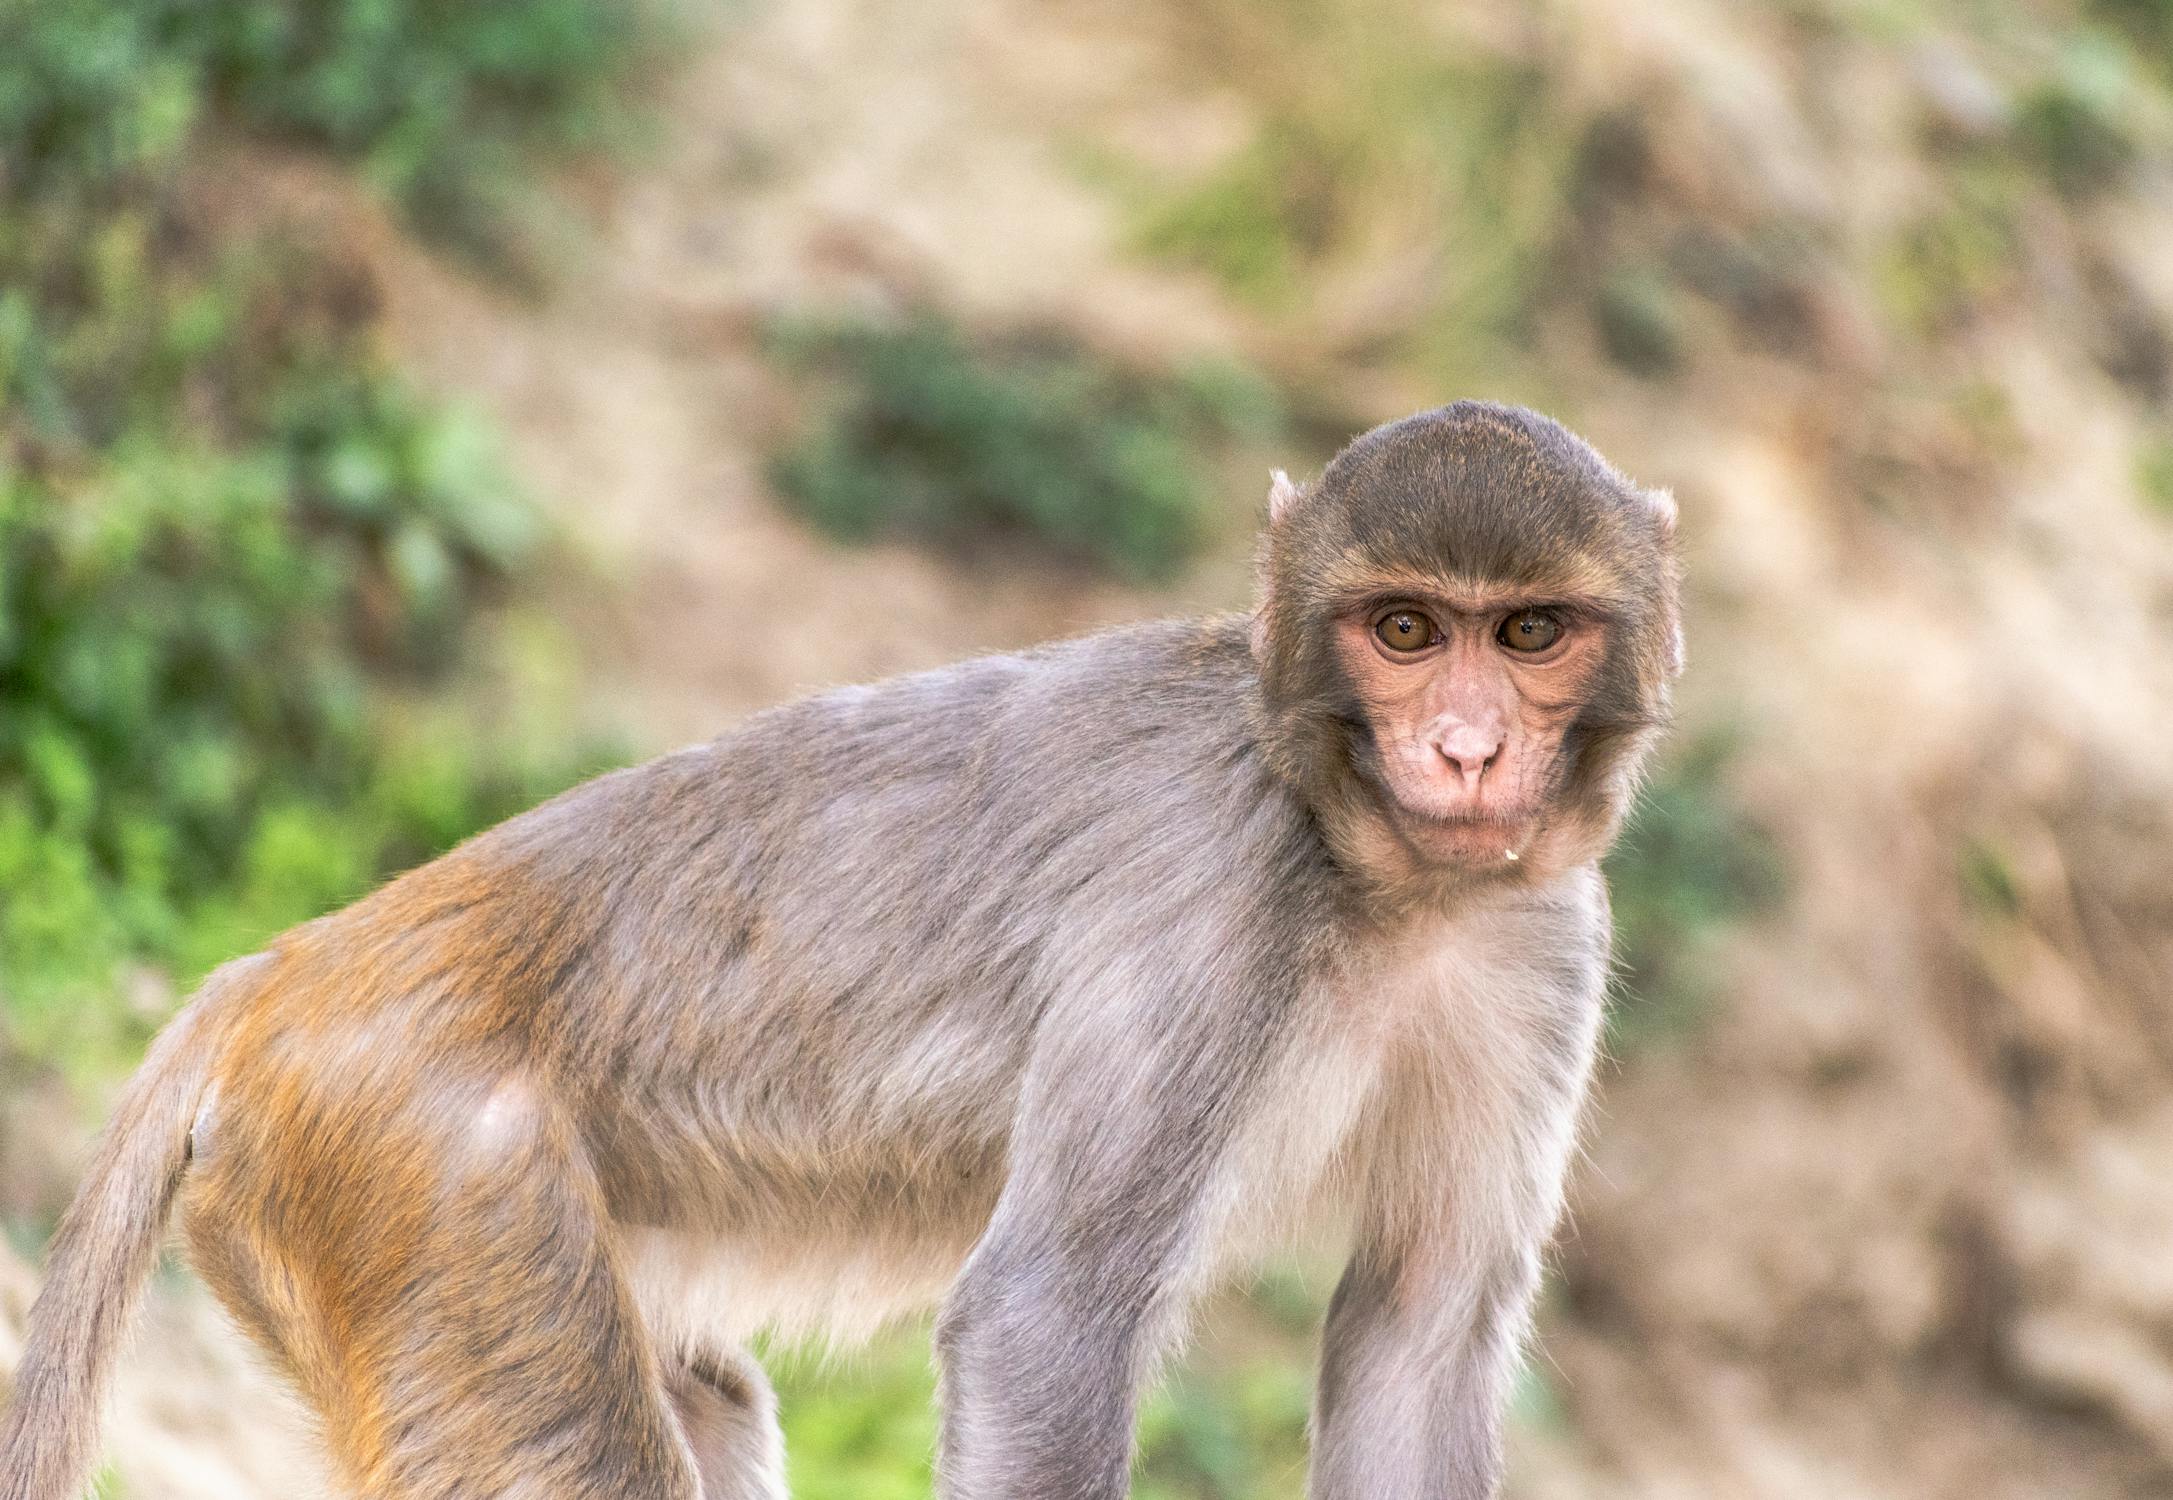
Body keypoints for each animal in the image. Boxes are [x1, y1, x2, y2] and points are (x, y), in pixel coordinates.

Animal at [0, 400, 1677, 1495]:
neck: (1375, 871)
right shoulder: (1212, 899)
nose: (1464, 751)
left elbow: (1418, 1333)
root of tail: (283, 970)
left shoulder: (1541, 943)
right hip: (427, 1175)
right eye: (1403, 632)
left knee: (708, 1400)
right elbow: (1044, 1326)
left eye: (1526, 634)